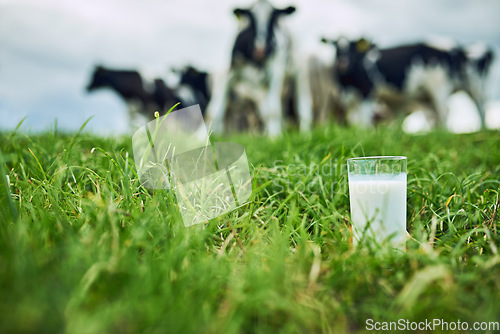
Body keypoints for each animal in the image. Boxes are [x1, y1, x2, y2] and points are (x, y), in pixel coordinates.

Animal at [205, 0, 310, 136]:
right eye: (251, 18)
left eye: (273, 18)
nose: (260, 49)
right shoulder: (228, 73)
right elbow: (212, 111)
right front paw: (199, 136)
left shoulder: (276, 74)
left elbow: (273, 110)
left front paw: (275, 137)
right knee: (265, 111)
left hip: (299, 72)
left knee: (304, 104)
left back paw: (305, 133)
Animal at [322, 36, 494, 128]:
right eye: (335, 46)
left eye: (352, 46)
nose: (342, 62)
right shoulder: (350, 99)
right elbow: (354, 120)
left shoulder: (367, 92)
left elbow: (364, 120)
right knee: (437, 115)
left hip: (447, 87)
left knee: (456, 110)